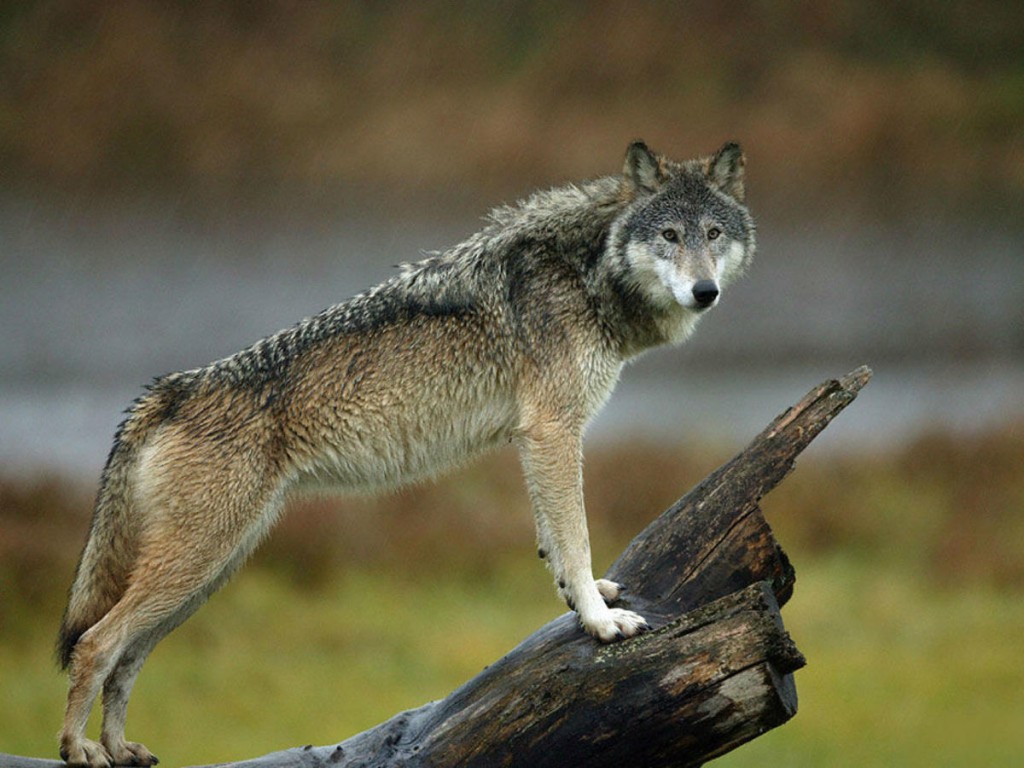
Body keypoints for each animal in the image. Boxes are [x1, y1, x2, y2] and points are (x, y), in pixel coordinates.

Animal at [58, 141, 753, 765]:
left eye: (713, 233)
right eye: (668, 235)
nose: (705, 291)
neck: (586, 266)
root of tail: (170, 390)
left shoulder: (536, 438)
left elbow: (554, 540)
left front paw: (584, 599)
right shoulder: (553, 429)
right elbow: (574, 536)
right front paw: (600, 621)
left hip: (210, 573)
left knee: (126, 657)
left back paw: (119, 749)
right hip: (198, 564)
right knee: (94, 644)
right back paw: (80, 750)